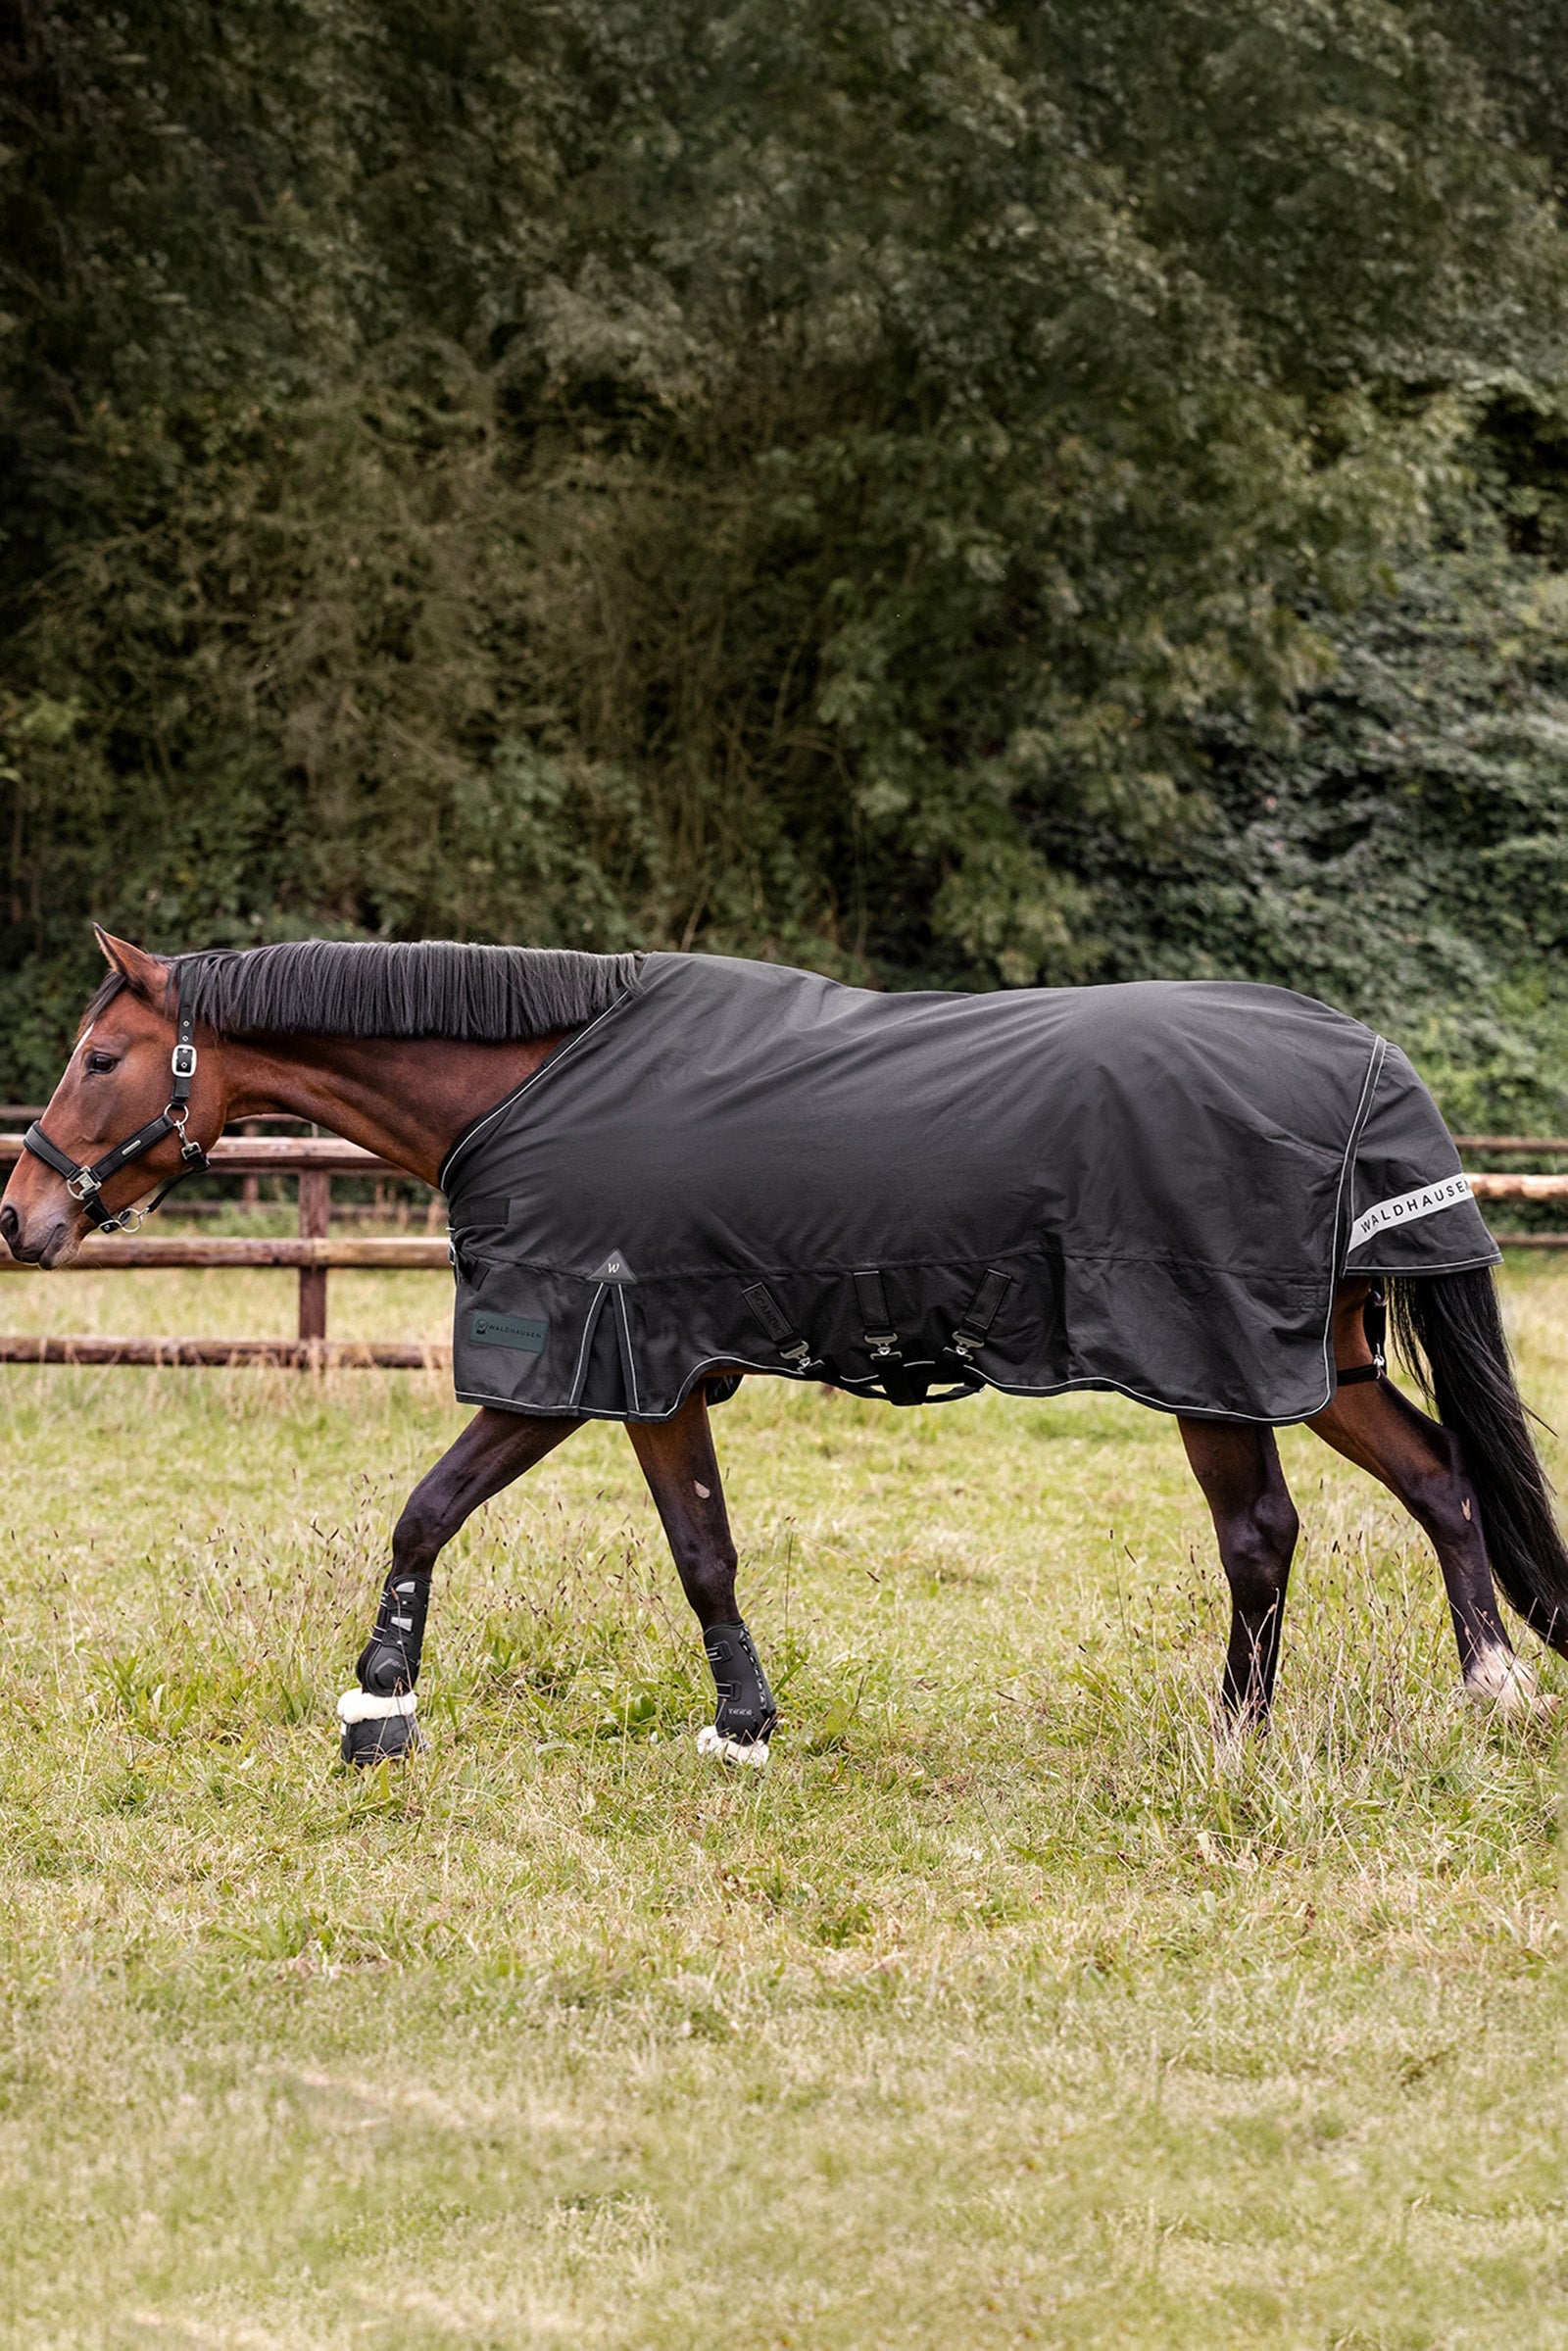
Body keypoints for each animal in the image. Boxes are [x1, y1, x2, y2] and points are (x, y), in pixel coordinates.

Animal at [1, 927, 1562, 1768]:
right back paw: (1491, 1687)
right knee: (1439, 1478)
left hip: (1217, 1365)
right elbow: (703, 1547)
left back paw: (1236, 1735)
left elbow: (427, 1508)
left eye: (96, 1059)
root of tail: (1364, 1059)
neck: (536, 1081)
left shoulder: (577, 1364)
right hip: (1326, 1359)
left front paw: (378, 1705)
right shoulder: (657, 1375)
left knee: (1260, 1534)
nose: (19, 1214)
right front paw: (743, 1722)